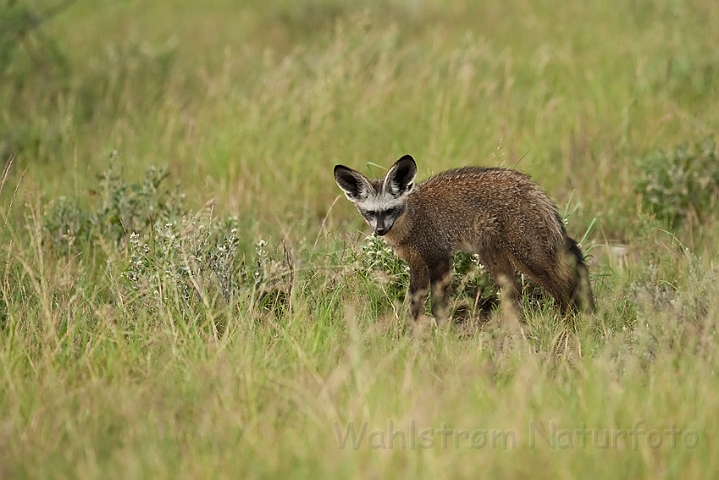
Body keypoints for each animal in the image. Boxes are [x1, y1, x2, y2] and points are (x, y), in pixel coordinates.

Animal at [336, 155, 596, 326]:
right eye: (370, 213)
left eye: (390, 210)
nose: (380, 230)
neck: (413, 220)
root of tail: (529, 185)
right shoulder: (417, 264)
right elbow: (414, 304)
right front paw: (409, 332)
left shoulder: (439, 258)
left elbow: (438, 305)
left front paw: (442, 332)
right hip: (498, 263)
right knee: (516, 296)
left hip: (530, 258)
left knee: (564, 288)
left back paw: (568, 324)